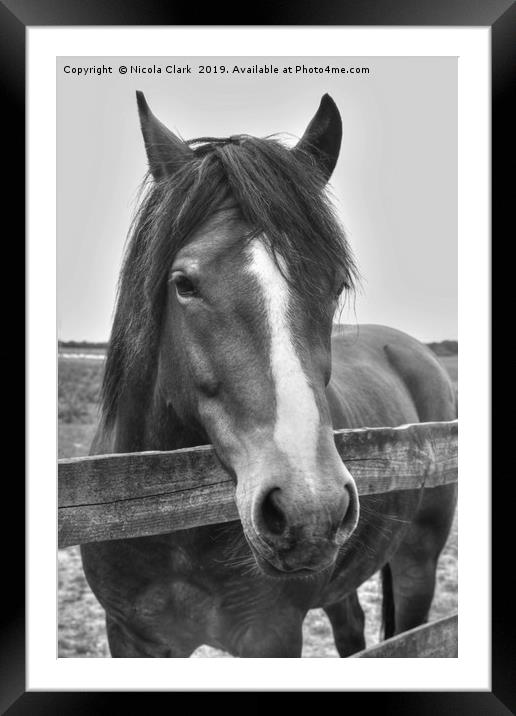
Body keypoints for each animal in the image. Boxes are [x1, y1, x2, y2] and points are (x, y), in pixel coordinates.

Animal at [80, 92, 456, 656]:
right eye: (184, 283)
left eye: (336, 284)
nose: (309, 509)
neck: (168, 520)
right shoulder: (131, 637)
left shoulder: (271, 636)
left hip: (418, 565)